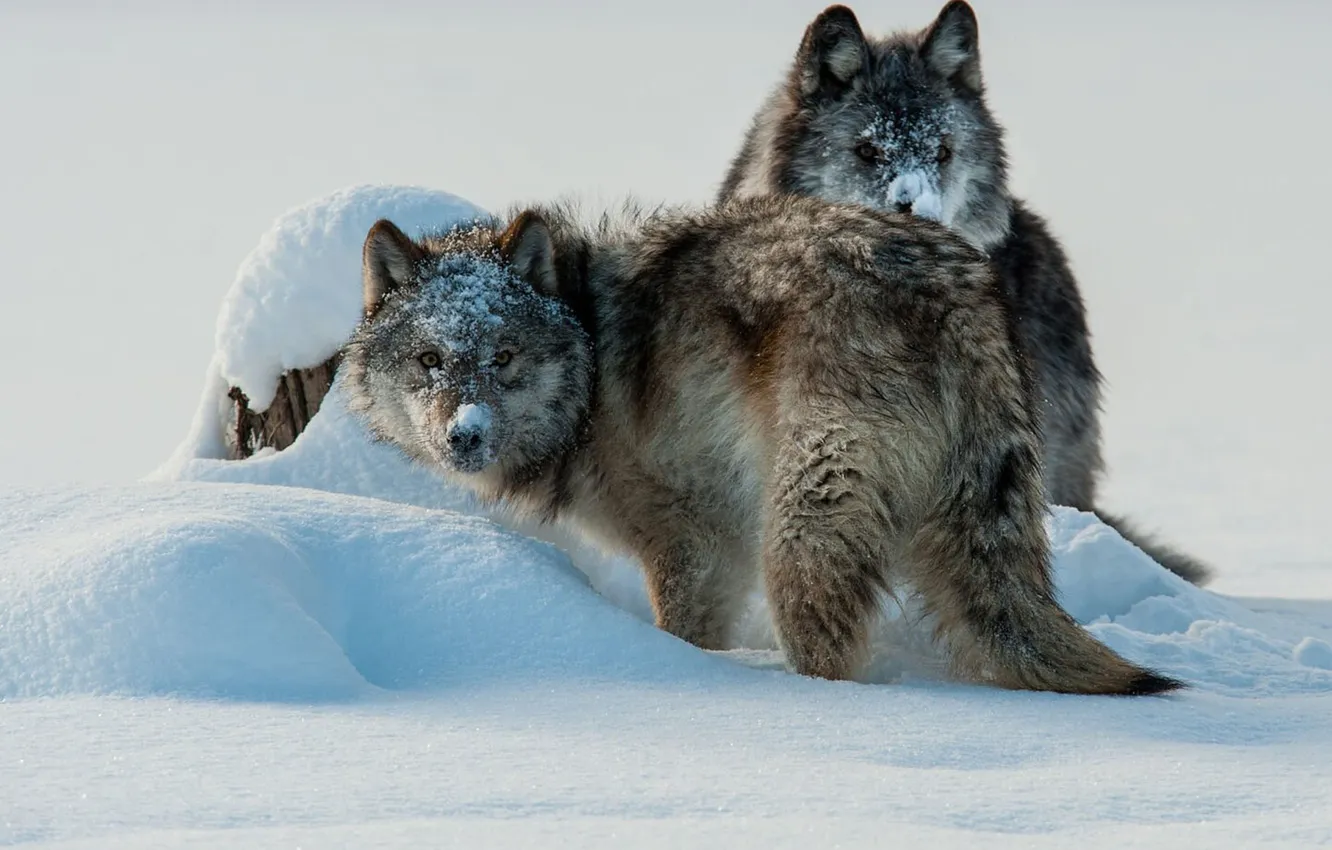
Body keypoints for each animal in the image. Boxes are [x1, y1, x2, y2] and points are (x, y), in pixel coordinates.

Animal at [343, 194, 1180, 695]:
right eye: (431, 360)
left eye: (504, 357)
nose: (464, 434)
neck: (589, 369)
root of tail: (950, 292)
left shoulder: (694, 547)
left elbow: (684, 638)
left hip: (799, 537)